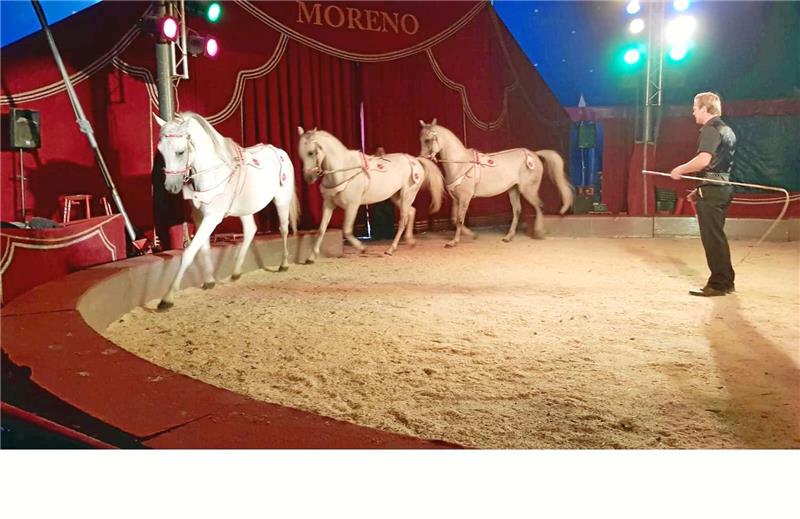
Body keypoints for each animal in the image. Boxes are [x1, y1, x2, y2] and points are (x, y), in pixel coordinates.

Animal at [154, 112, 299, 310]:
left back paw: (283, 264)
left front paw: (167, 298)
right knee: (250, 230)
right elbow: (203, 248)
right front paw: (209, 281)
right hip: (246, 208)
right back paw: (236, 272)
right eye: (160, 151)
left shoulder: (212, 218)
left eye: (180, 151)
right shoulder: (200, 217)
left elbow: (189, 252)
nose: (171, 187)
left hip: (281, 200)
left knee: (283, 229)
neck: (212, 173)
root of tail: (278, 151)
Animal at [296, 127, 444, 261]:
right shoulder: (328, 204)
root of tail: (415, 160)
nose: (308, 178)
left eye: (311, 153)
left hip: (408, 194)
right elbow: (321, 230)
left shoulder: (352, 205)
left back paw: (391, 249)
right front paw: (311, 257)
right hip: (397, 197)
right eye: (301, 154)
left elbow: (347, 230)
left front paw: (363, 248)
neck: (343, 171)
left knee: (403, 220)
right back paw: (410, 241)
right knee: (412, 212)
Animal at [419, 119, 574, 247]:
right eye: (421, 139)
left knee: (539, 206)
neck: (460, 164)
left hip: (528, 190)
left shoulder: (465, 198)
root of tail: (534, 154)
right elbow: (454, 218)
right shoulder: (456, 198)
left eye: (428, 140)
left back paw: (538, 232)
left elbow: (459, 219)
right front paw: (472, 235)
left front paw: (454, 242)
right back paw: (508, 237)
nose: (421, 158)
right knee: (517, 211)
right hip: (513, 190)